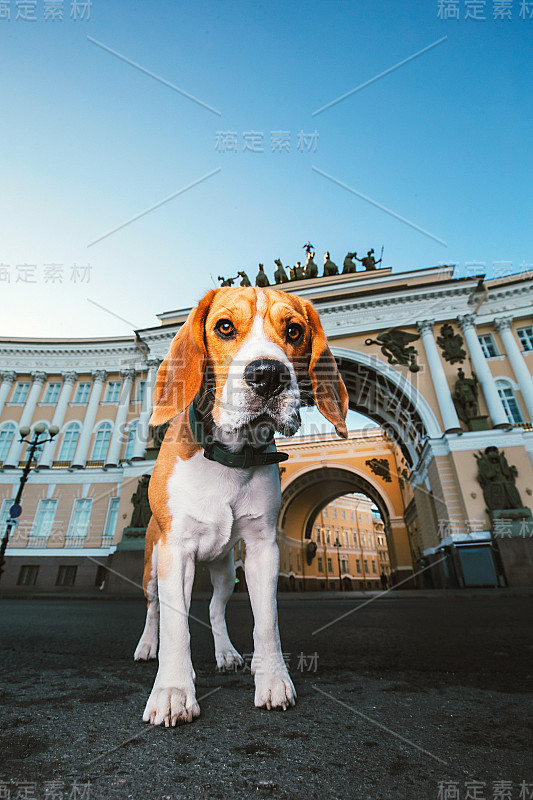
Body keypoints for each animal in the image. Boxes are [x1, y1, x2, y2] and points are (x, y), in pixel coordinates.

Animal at [135, 288, 348, 724]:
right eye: (225, 327)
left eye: (294, 331)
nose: (268, 374)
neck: (228, 458)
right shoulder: (174, 551)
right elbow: (175, 627)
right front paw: (173, 691)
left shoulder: (264, 549)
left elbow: (267, 622)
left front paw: (272, 680)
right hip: (152, 566)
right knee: (155, 609)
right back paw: (149, 647)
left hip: (224, 572)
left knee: (215, 609)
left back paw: (226, 654)